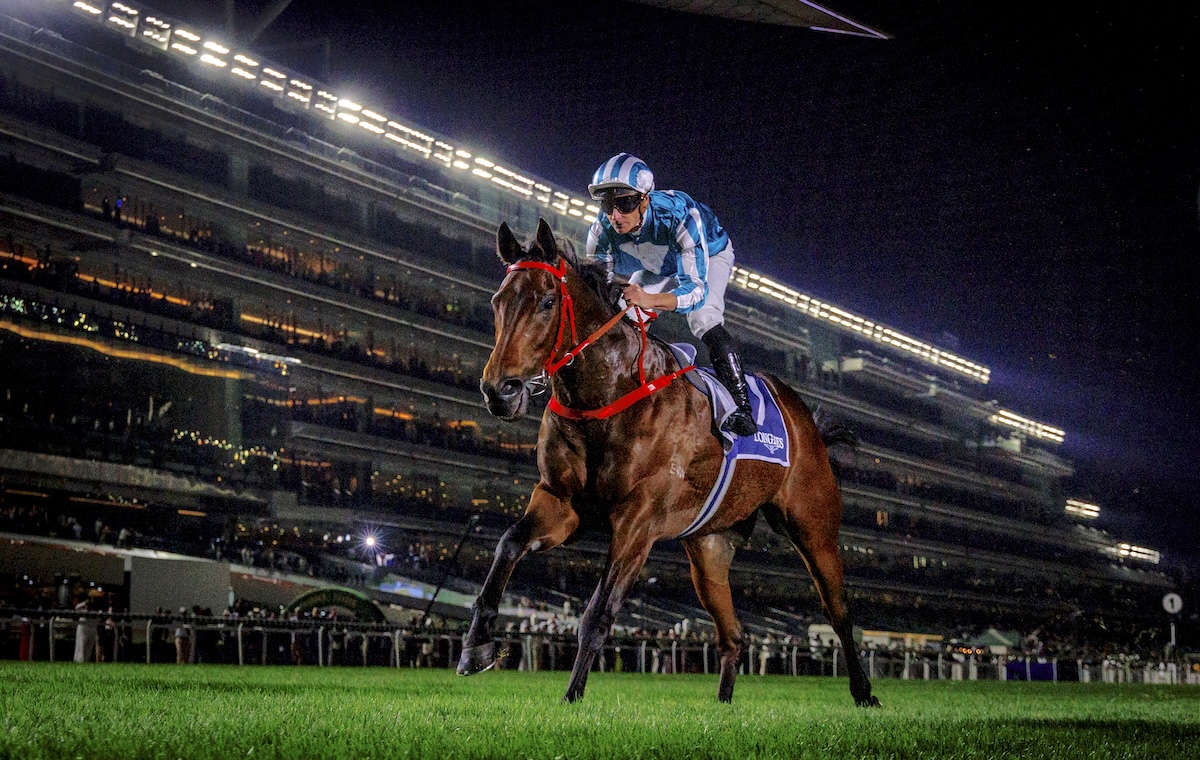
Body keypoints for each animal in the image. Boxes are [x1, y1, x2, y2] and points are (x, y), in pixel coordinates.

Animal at [458, 217, 883, 705]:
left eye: (547, 302)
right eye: (498, 301)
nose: (499, 390)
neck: (606, 392)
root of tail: (805, 418)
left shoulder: (637, 523)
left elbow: (597, 614)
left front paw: (570, 698)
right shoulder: (562, 503)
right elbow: (508, 543)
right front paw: (476, 647)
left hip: (814, 527)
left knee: (839, 611)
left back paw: (864, 693)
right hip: (709, 549)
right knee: (733, 634)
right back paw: (723, 704)